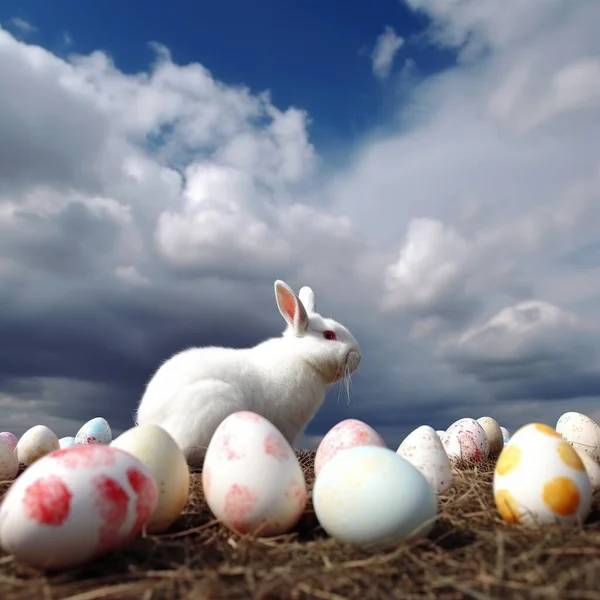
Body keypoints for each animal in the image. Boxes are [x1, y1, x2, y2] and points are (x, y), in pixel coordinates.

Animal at [136, 278, 360, 466]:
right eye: (329, 335)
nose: (358, 356)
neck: (302, 357)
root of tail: (151, 424)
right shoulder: (287, 426)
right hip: (215, 405)